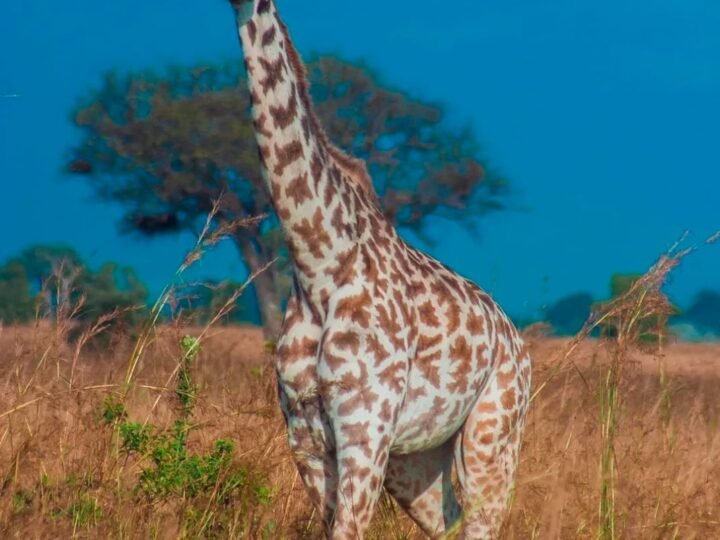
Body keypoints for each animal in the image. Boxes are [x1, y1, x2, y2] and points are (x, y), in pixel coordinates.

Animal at [226, 1, 531, 538]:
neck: (318, 263)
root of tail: (517, 341)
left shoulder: (364, 430)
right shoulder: (306, 436)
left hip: (492, 438)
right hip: (417, 459)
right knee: (447, 523)